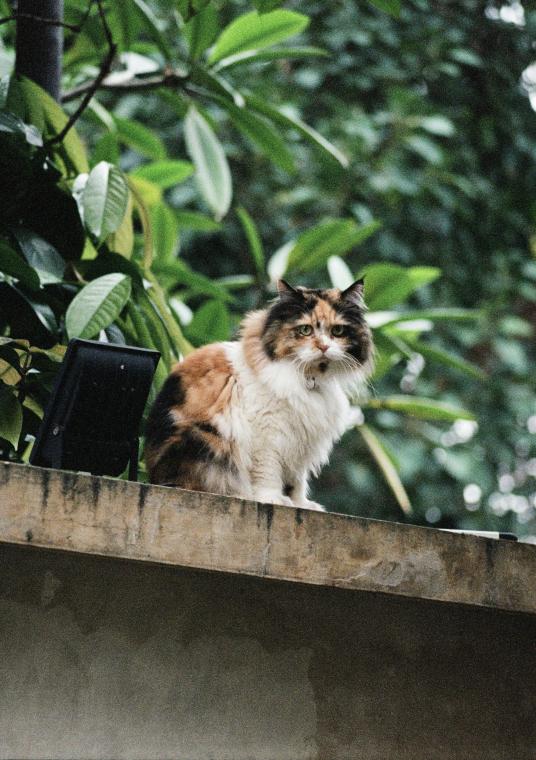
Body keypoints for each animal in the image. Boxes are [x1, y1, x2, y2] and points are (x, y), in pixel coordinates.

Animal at [144, 280, 374, 510]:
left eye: (337, 331)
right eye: (305, 330)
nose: (324, 346)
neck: (310, 380)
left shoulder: (300, 440)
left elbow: (296, 481)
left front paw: (300, 503)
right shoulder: (267, 434)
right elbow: (268, 473)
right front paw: (272, 498)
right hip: (204, 440)